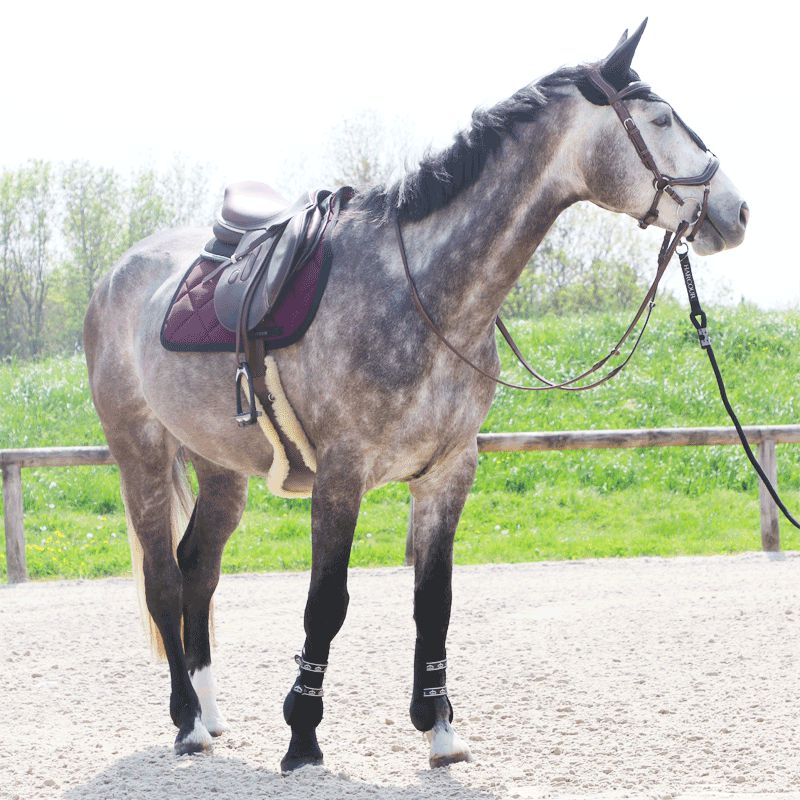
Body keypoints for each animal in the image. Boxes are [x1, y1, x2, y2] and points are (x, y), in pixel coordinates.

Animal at [84, 20, 748, 771]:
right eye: (660, 120)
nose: (736, 210)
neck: (424, 292)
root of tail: (118, 276)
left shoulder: (447, 473)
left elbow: (435, 602)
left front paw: (439, 726)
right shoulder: (341, 476)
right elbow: (326, 604)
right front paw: (303, 735)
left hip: (220, 466)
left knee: (199, 568)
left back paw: (211, 709)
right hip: (138, 453)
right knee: (163, 579)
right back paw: (187, 720)